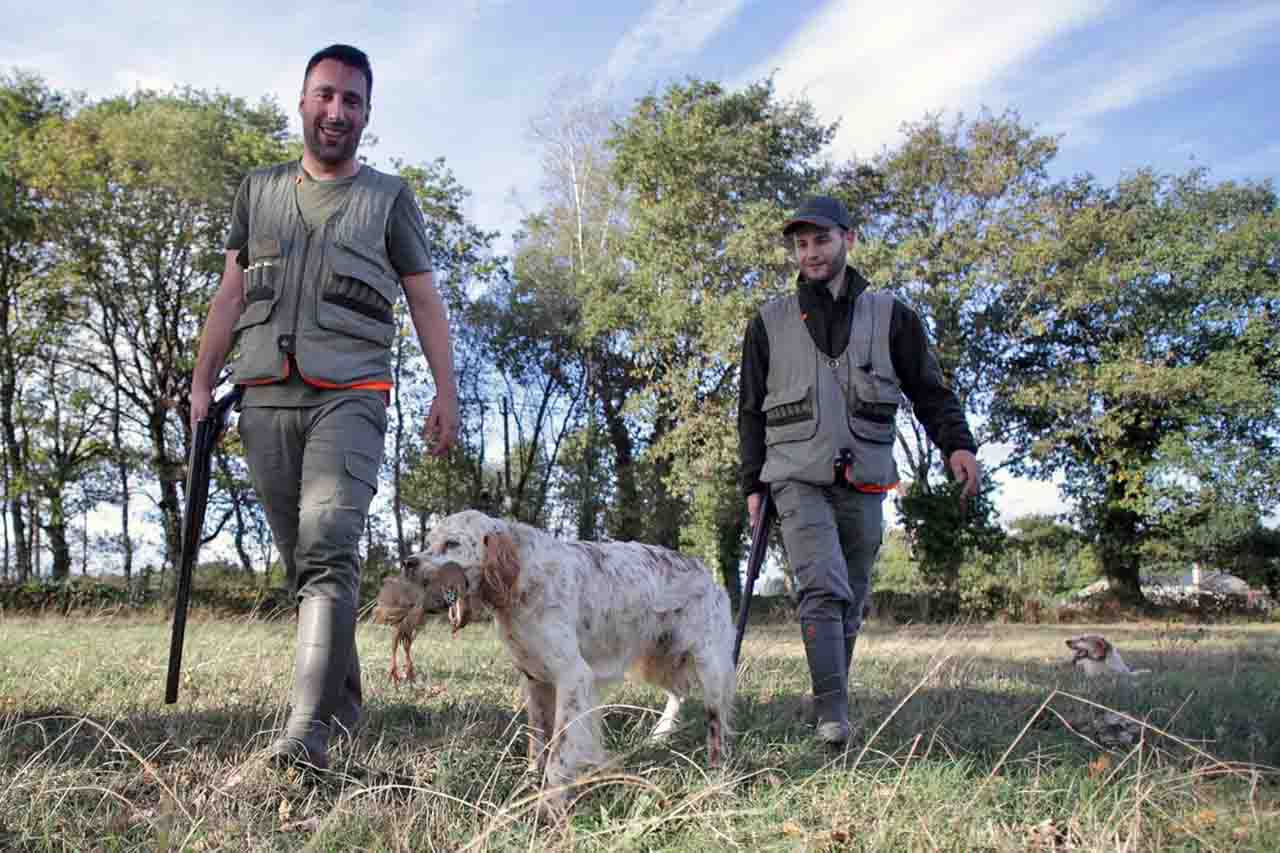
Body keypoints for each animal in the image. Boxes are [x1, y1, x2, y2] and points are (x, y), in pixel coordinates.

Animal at [394, 507, 737, 809]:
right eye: (429, 541)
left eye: (451, 543)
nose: (407, 562)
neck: (521, 578)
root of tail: (710, 575)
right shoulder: (535, 679)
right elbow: (538, 742)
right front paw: (530, 782)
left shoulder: (573, 676)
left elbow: (560, 750)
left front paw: (552, 800)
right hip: (657, 662)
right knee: (678, 693)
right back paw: (660, 735)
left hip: (709, 668)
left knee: (716, 720)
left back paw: (716, 773)